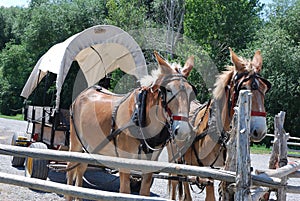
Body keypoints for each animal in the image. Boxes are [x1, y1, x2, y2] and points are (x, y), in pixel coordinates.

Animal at [65, 52, 196, 201]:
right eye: (168, 90)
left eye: (192, 93)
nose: (183, 131)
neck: (140, 116)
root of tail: (84, 93)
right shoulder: (124, 163)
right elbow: (124, 192)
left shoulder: (149, 166)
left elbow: (144, 193)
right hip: (76, 142)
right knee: (71, 168)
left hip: (89, 146)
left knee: (81, 168)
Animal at [169, 48, 272, 200]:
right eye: (244, 88)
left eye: (265, 89)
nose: (260, 130)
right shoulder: (207, 174)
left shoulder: (226, 172)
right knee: (176, 181)